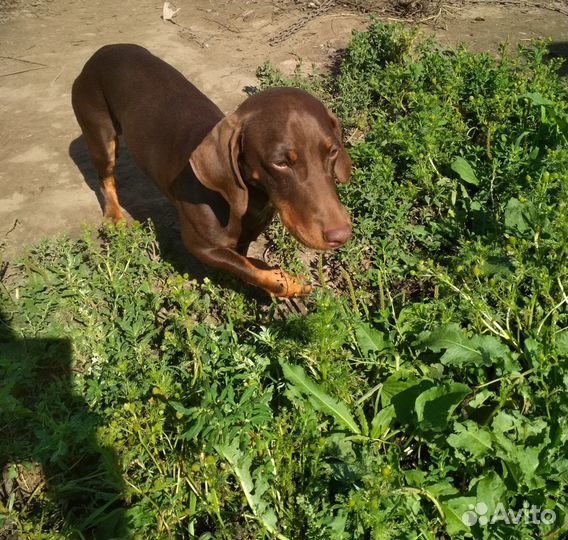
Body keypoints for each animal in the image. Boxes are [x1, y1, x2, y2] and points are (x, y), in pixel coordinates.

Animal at [72, 45, 350, 300]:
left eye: (333, 151)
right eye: (281, 163)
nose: (341, 235)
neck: (247, 201)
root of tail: (102, 52)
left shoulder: (243, 239)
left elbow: (250, 263)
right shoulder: (201, 246)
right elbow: (252, 269)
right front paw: (289, 284)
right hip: (100, 136)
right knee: (105, 177)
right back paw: (114, 216)